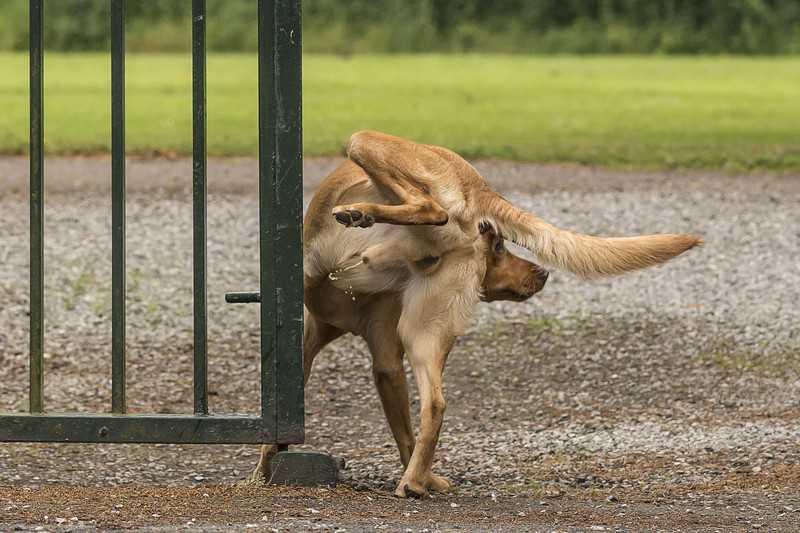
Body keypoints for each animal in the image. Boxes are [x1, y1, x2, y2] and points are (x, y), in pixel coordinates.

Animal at [250, 131, 700, 496]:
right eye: (501, 247)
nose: (542, 273)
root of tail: (478, 186)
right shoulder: (376, 359)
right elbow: (403, 431)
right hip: (421, 333)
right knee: (435, 404)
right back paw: (414, 483)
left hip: (363, 142)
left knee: (431, 208)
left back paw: (361, 212)